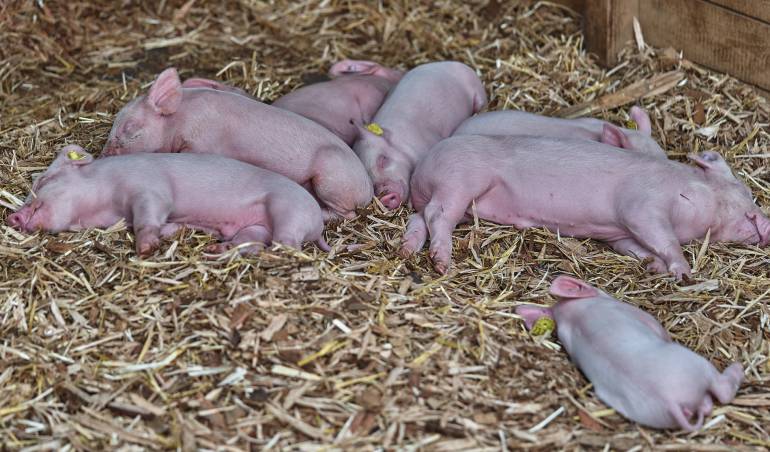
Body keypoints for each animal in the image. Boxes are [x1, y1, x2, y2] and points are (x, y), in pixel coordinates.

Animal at [7, 145, 329, 255]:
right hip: (256, 227)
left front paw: (146, 248)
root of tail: (317, 224)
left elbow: (149, 214)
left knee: (287, 245)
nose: (12, 216)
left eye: (42, 182)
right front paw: (171, 233)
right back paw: (216, 249)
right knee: (250, 242)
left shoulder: (151, 189)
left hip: (287, 209)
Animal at [102, 67, 373, 220]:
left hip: (331, 178)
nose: (103, 155)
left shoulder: (203, 143)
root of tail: (368, 189)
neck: (180, 118)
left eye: (129, 128)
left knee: (346, 214)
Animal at [352, 61, 487, 209]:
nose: (385, 197)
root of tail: (449, 62)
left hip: (477, 89)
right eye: (370, 179)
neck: (400, 143)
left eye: (383, 159)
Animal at [400, 135, 770, 277]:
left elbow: (637, 248)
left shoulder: (621, 234)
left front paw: (653, 266)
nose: (766, 223)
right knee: (436, 215)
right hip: (461, 181)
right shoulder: (641, 205)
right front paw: (682, 272)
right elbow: (663, 238)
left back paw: (408, 250)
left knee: (421, 218)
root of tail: (422, 169)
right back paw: (442, 265)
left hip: (455, 200)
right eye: (743, 190)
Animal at [515, 275, 744, 431]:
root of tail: (671, 401)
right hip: (698, 365)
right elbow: (657, 327)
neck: (575, 316)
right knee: (723, 391)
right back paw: (738, 367)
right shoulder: (639, 315)